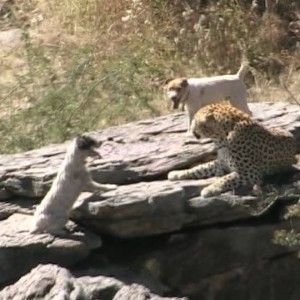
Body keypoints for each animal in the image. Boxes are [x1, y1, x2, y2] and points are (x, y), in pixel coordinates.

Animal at [168, 102, 296, 198]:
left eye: (195, 120)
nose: (190, 130)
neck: (221, 139)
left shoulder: (250, 173)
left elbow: (226, 178)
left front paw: (210, 189)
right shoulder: (221, 164)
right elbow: (199, 168)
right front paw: (176, 173)